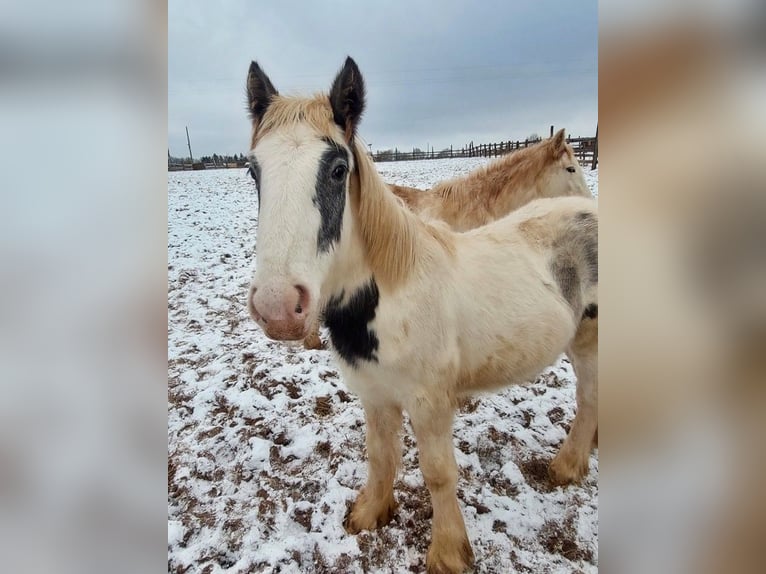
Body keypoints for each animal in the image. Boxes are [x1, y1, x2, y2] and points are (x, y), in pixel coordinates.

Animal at [246, 56, 600, 572]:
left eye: (337, 169)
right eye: (252, 171)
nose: (277, 308)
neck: (389, 298)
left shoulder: (431, 402)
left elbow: (438, 473)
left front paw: (449, 552)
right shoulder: (374, 394)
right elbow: (380, 456)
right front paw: (370, 513)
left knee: (589, 397)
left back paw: (567, 467)